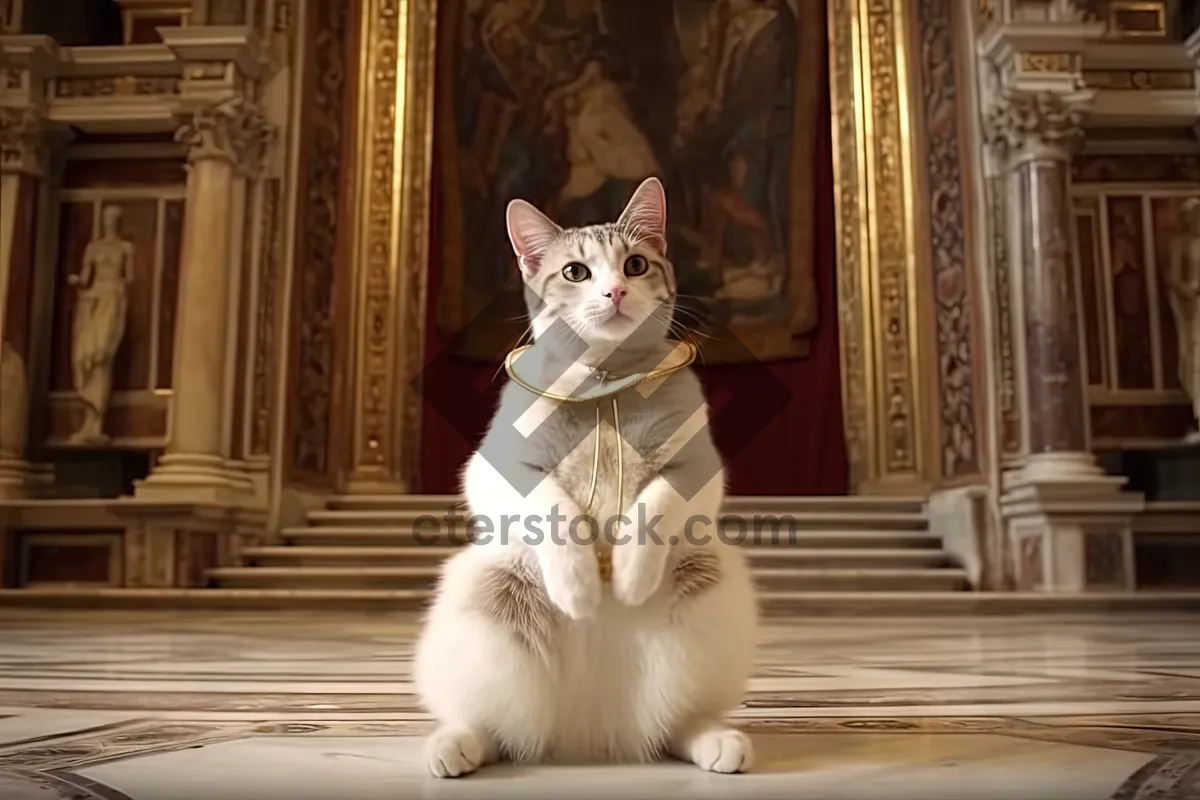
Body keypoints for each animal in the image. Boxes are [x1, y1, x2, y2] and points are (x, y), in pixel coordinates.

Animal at [412, 178, 758, 777]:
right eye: (576, 272)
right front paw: (579, 587)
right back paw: (457, 745)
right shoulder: (497, 469)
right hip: (488, 606)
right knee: (500, 728)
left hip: (706, 595)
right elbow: (556, 510)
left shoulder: (697, 468)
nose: (615, 291)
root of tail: (592, 737)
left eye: (636, 265)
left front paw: (629, 576)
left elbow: (655, 506)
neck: (606, 381)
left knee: (677, 722)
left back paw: (714, 739)